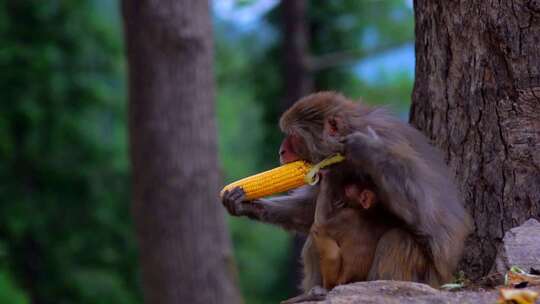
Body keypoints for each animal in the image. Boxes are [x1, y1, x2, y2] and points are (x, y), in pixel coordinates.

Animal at [221, 91, 470, 302]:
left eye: (294, 137)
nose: (281, 151)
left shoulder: (392, 144)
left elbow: (433, 218)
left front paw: (368, 148)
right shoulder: (330, 168)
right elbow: (308, 211)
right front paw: (244, 204)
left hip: (429, 278)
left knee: (398, 239)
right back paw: (316, 292)